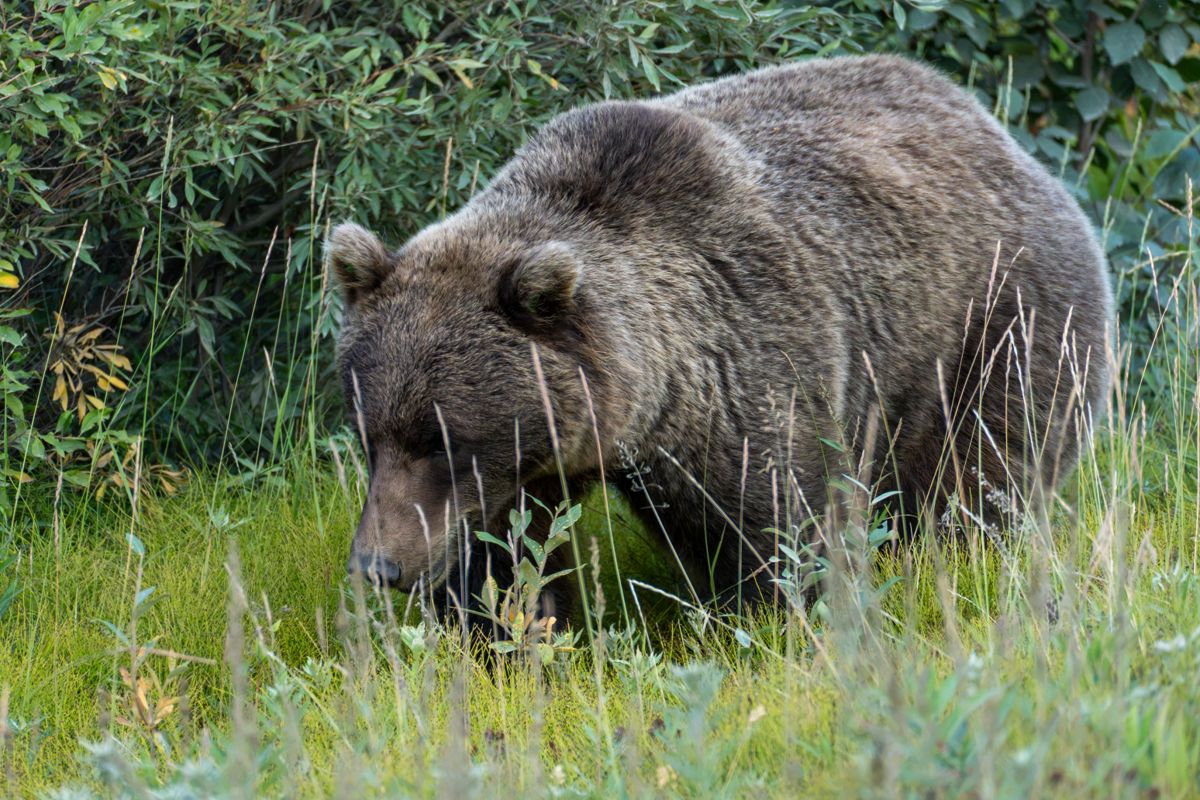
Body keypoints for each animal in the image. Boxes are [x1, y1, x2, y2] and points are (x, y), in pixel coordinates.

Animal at [328, 54, 1112, 621]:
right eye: (370, 434)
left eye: (443, 439)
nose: (376, 565)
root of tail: (999, 133)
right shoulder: (531, 459)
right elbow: (499, 553)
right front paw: (506, 633)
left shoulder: (746, 363)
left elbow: (782, 520)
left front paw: (778, 617)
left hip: (996, 317)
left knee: (985, 469)